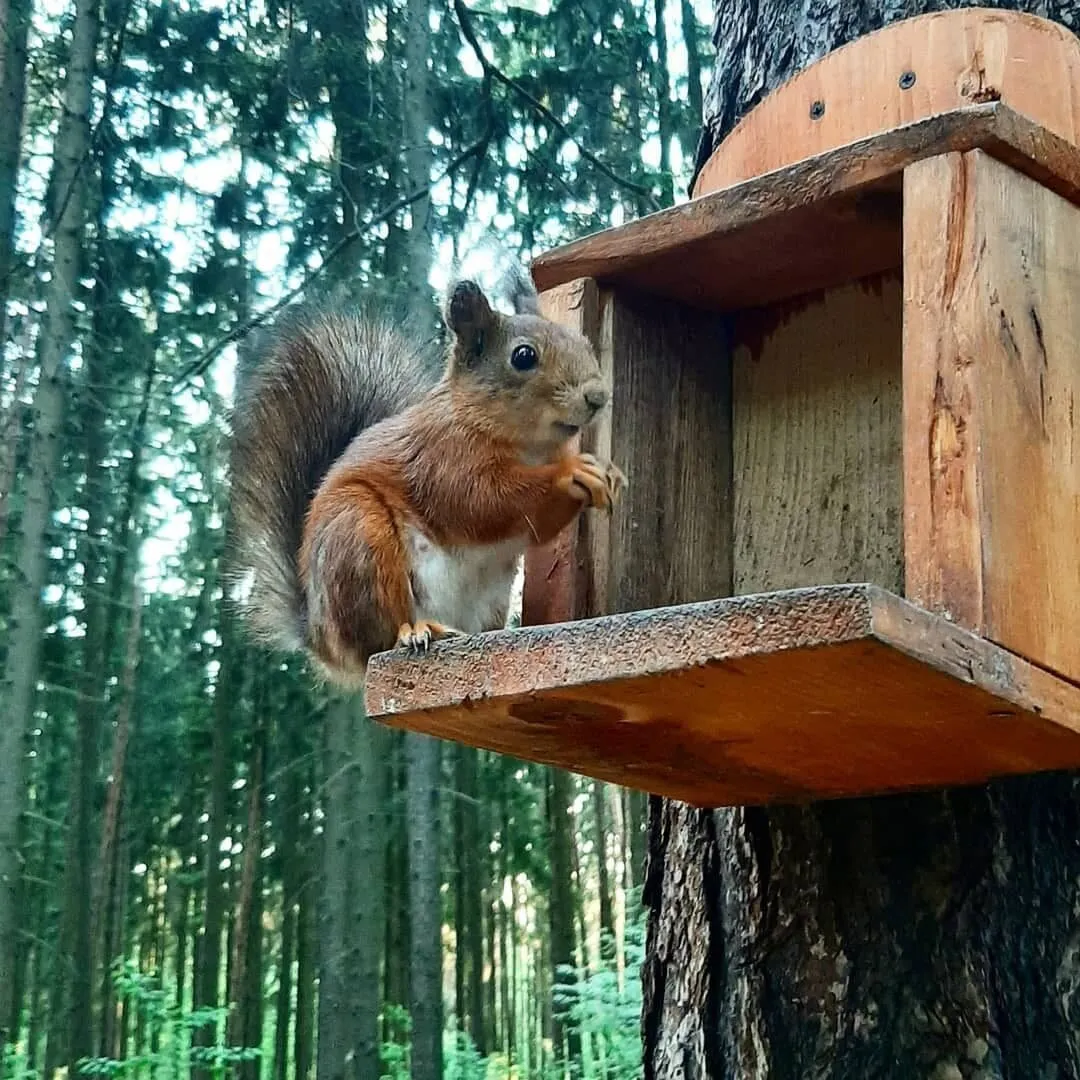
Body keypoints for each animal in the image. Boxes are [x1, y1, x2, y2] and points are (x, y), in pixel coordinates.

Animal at [227, 269, 626, 689]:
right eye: (523, 356)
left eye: (585, 343)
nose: (598, 396)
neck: (528, 445)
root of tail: (321, 638)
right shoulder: (441, 459)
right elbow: (484, 502)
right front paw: (572, 474)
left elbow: (538, 526)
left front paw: (607, 474)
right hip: (358, 538)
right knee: (379, 639)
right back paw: (419, 630)